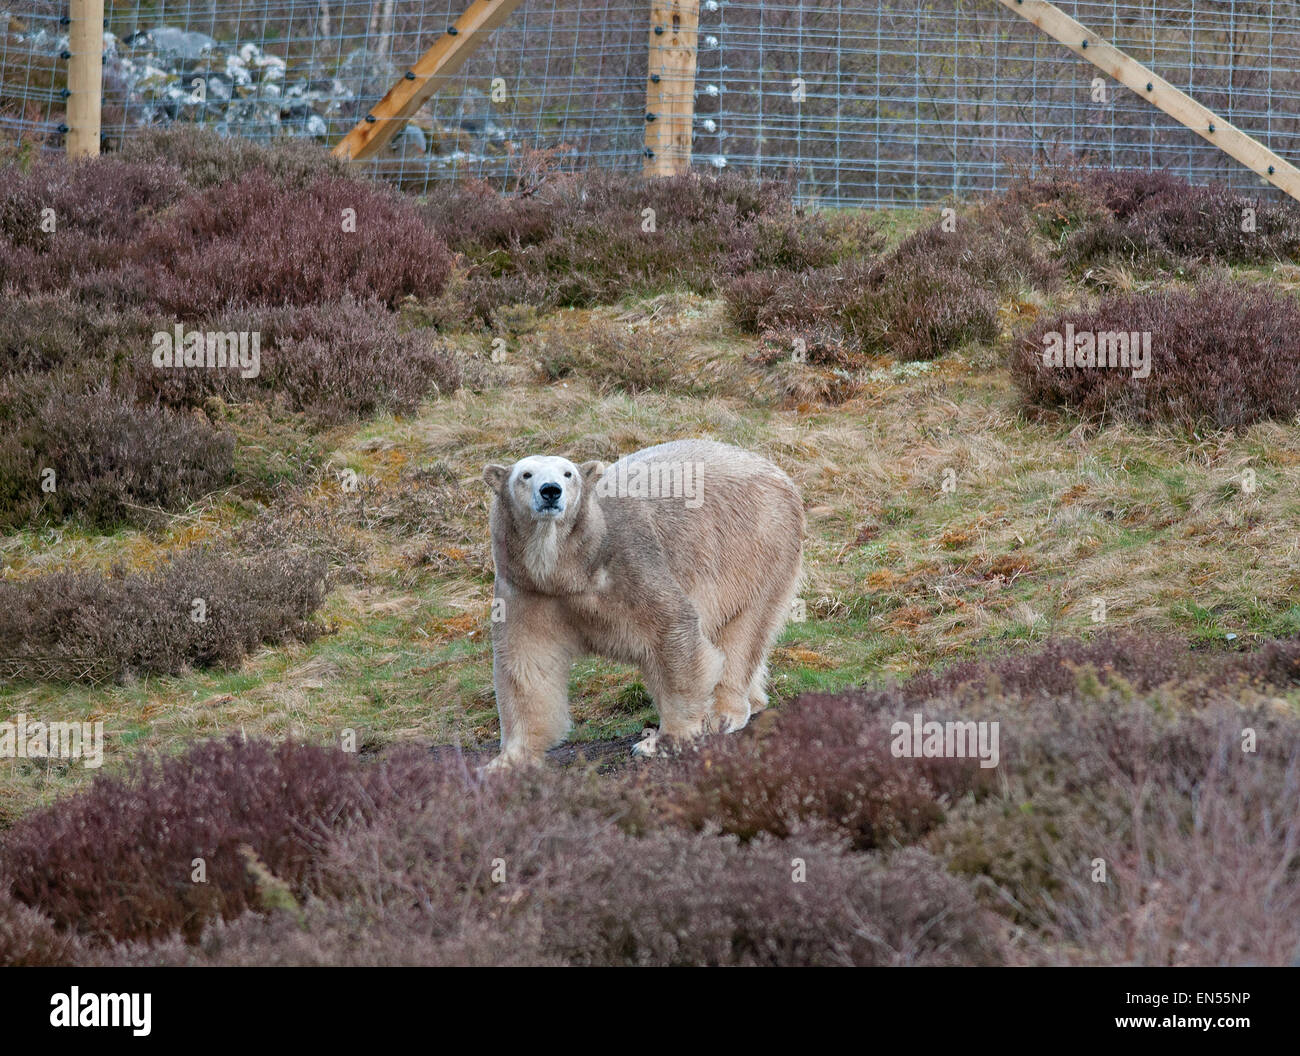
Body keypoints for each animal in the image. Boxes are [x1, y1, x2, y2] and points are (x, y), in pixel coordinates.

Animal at [480, 436, 800, 764]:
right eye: (525, 474)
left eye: (568, 473)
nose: (550, 491)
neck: (572, 567)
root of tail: (778, 472)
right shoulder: (528, 589)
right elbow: (528, 664)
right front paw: (507, 759)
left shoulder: (631, 563)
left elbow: (673, 631)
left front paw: (661, 741)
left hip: (755, 546)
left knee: (742, 633)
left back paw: (721, 715)